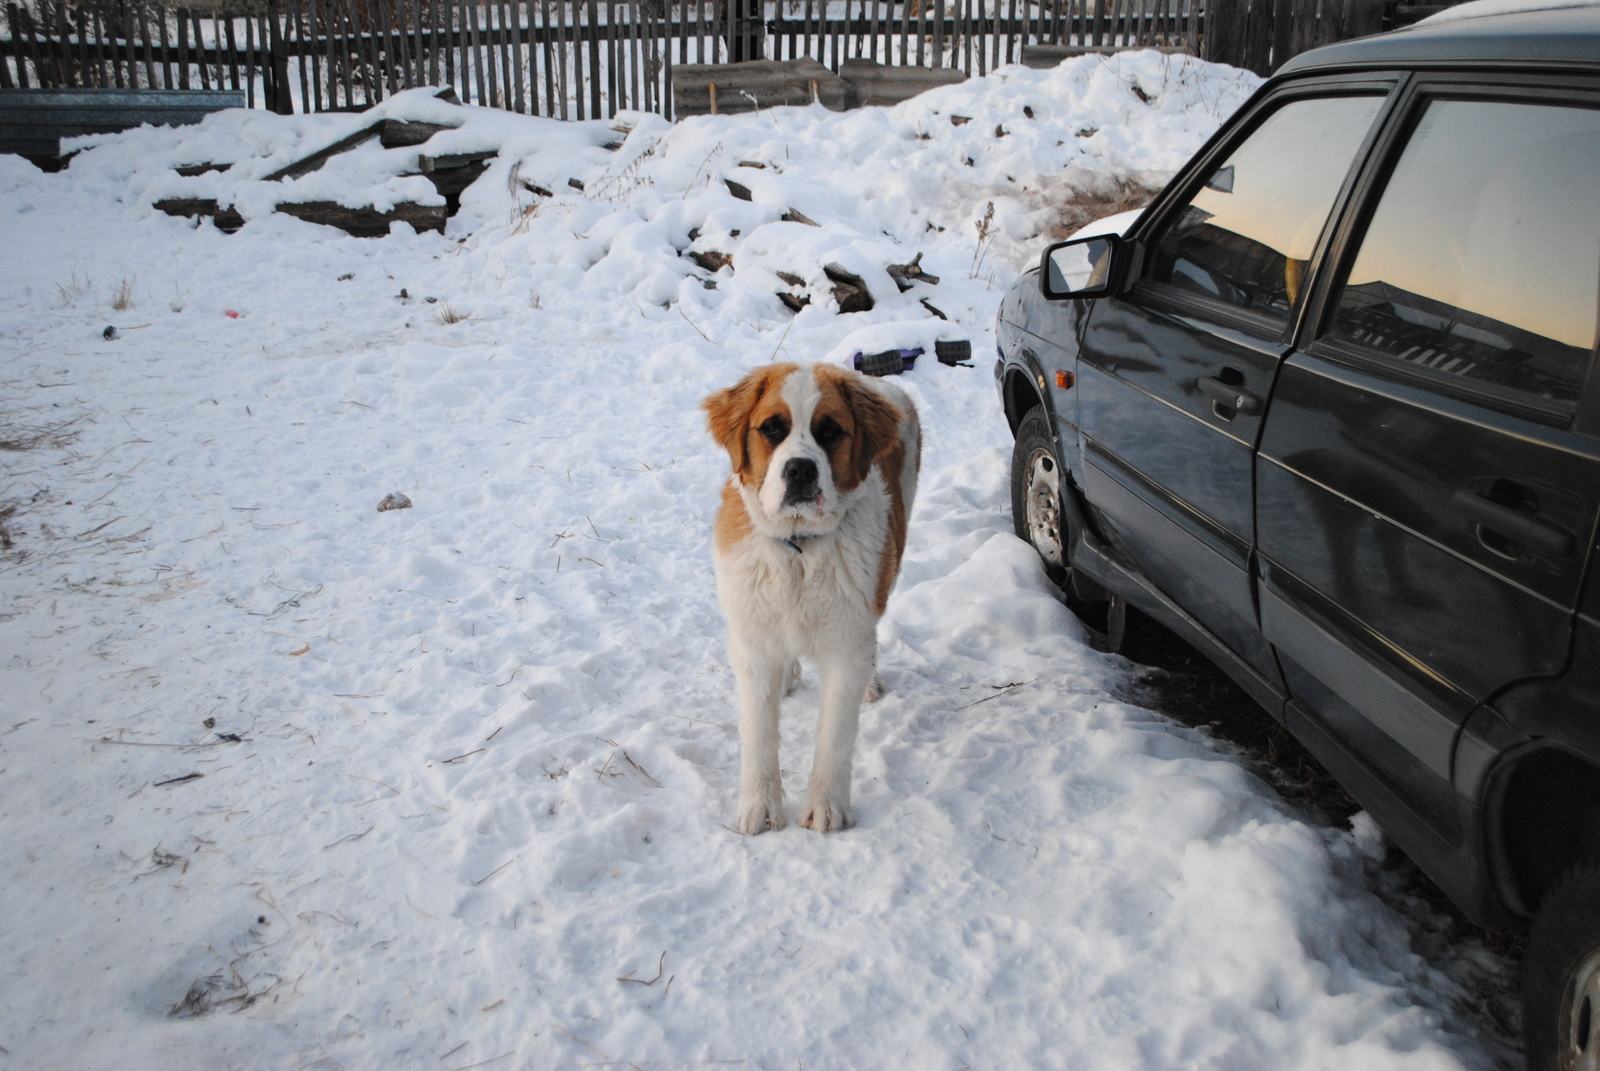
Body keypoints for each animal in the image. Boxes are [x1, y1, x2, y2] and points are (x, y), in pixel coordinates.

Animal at [704, 363, 921, 832]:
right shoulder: (752, 642)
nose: (800, 471)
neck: (798, 551)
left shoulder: (847, 643)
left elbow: (835, 735)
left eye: (830, 431)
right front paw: (760, 805)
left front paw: (827, 806)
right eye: (772, 428)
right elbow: (758, 733)